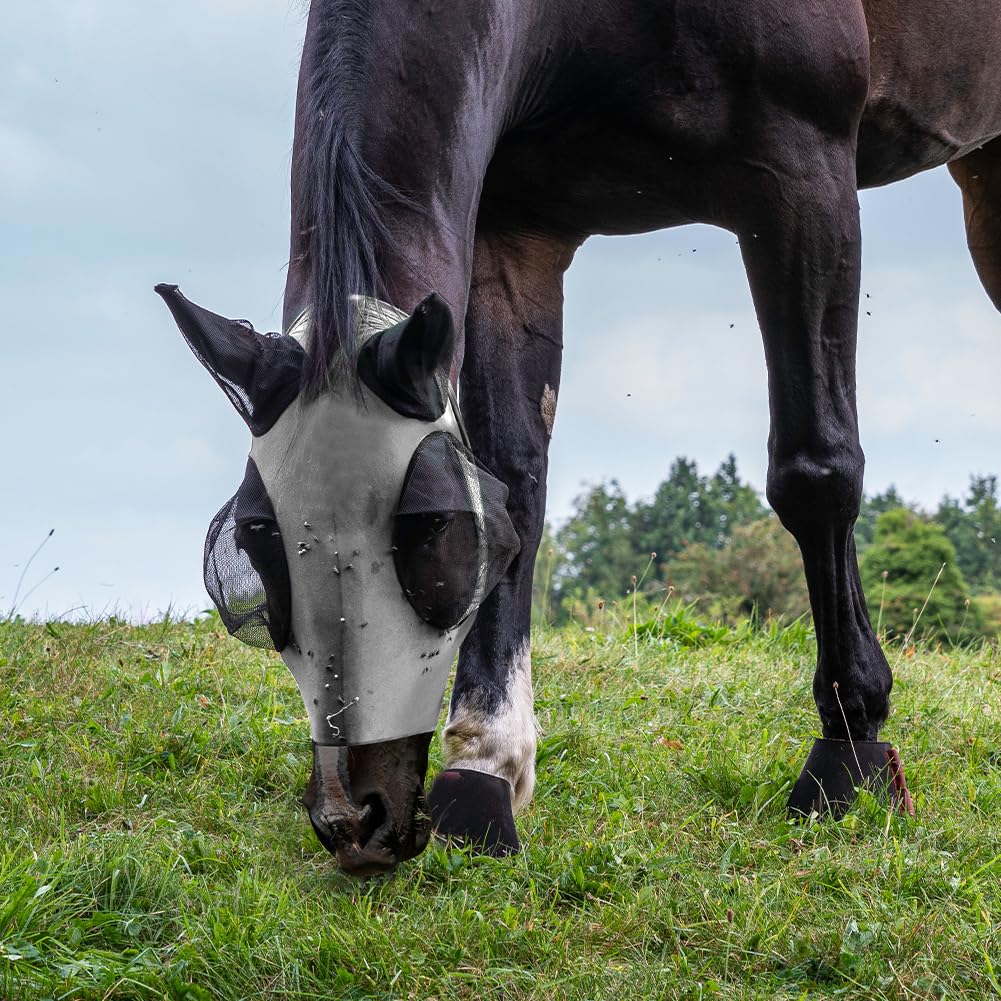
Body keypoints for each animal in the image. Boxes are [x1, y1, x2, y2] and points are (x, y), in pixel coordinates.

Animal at [158, 0, 1001, 875]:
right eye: (257, 533)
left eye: (430, 526)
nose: (353, 816)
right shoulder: (514, 230)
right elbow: (517, 479)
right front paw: (485, 764)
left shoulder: (803, 177)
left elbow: (815, 468)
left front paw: (849, 743)